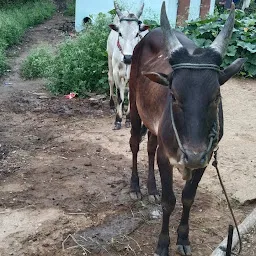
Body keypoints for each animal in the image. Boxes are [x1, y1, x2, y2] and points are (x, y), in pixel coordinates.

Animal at [107, 1, 149, 130]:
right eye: (120, 33)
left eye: (137, 34)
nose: (128, 58)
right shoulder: (117, 73)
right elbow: (120, 97)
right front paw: (118, 120)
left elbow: (132, 96)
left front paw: (129, 119)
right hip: (109, 59)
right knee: (110, 80)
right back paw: (112, 105)